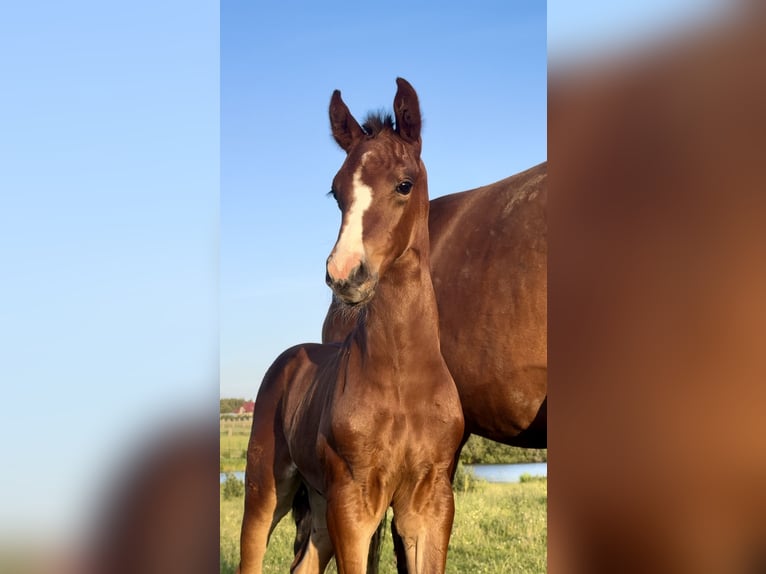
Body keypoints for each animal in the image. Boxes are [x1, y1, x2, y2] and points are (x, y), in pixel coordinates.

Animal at [238, 78, 465, 574]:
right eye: (336, 191)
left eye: (404, 184)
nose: (344, 274)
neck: (403, 378)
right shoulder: (354, 501)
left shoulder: (430, 503)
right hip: (266, 487)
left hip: (319, 499)